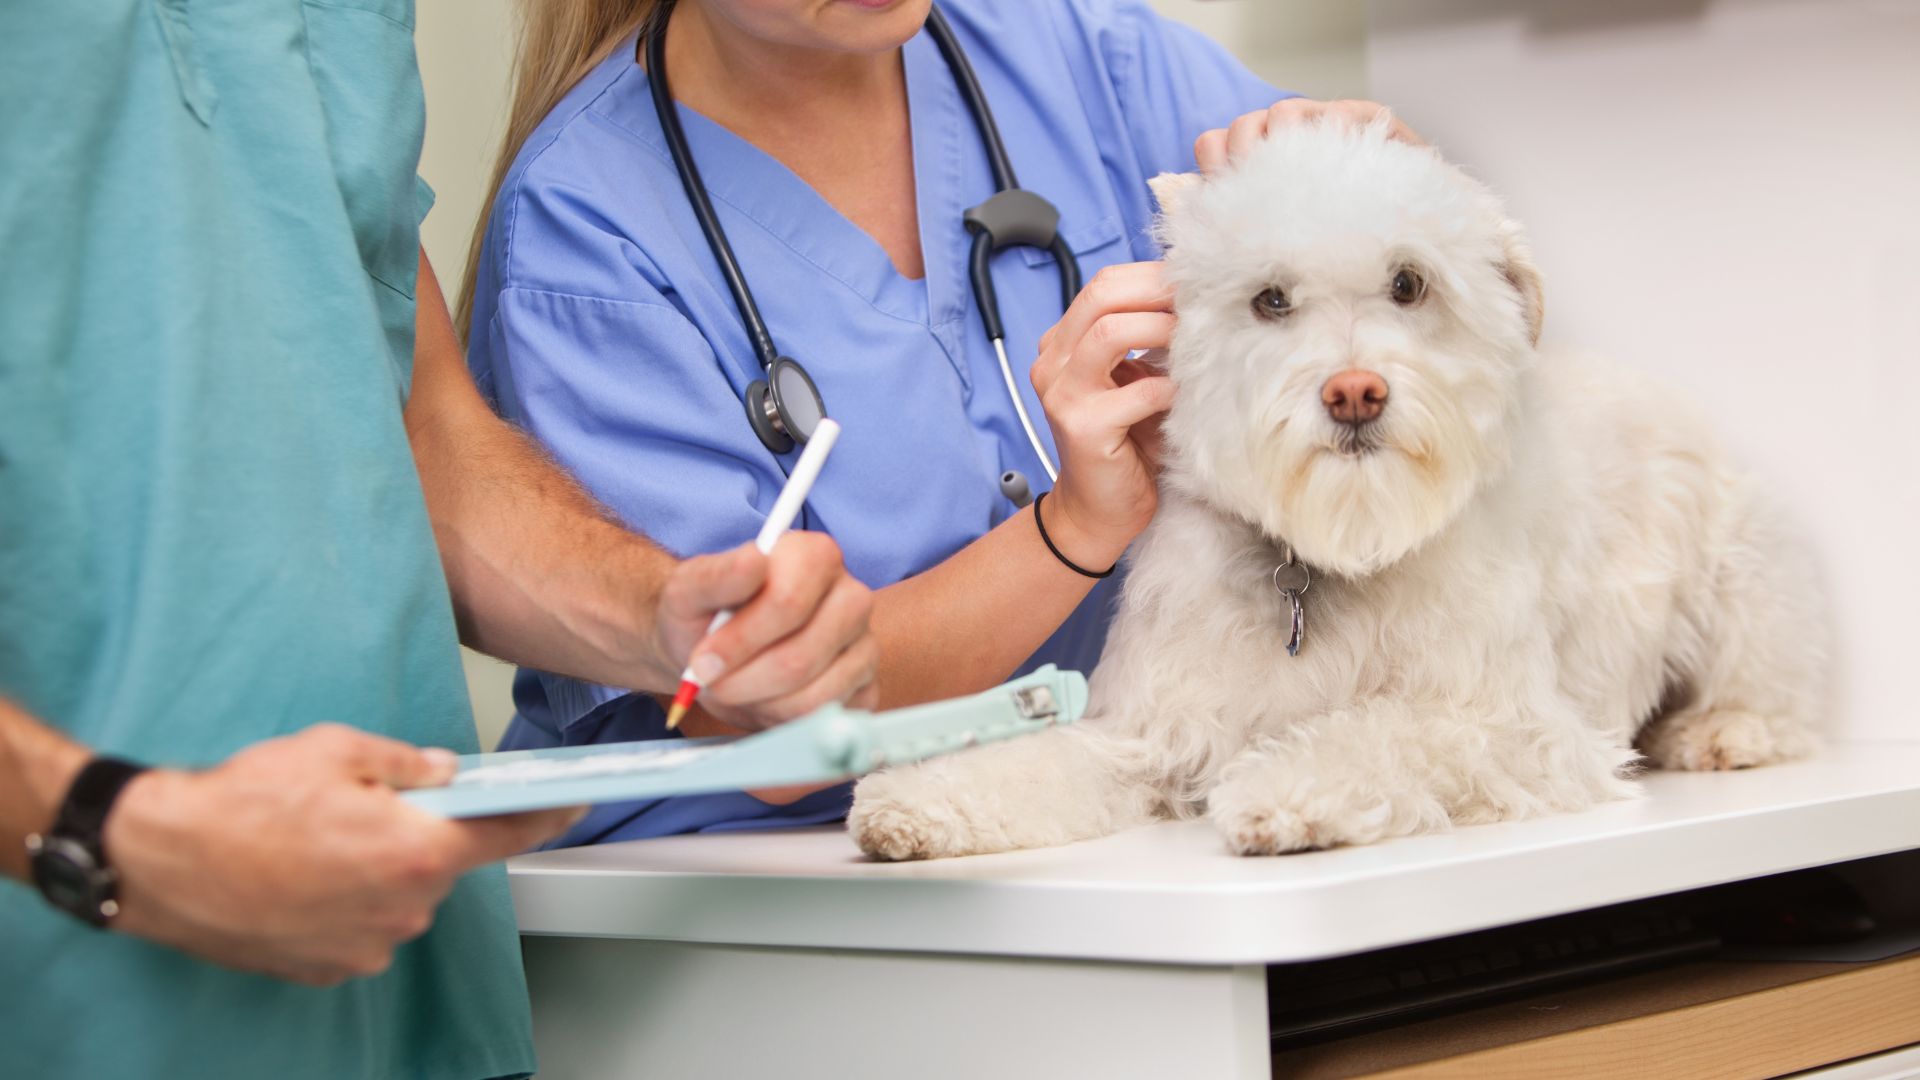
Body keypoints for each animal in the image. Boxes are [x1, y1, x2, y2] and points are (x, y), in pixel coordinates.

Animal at [848, 117, 1820, 857]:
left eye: (1409, 283)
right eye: (1271, 300)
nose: (1355, 392)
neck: (1325, 558)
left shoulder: (1514, 729)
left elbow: (1381, 736)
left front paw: (1282, 792)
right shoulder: (1148, 730)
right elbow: (1048, 761)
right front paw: (916, 797)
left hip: (1744, 572)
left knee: (1778, 693)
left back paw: (1721, 731)